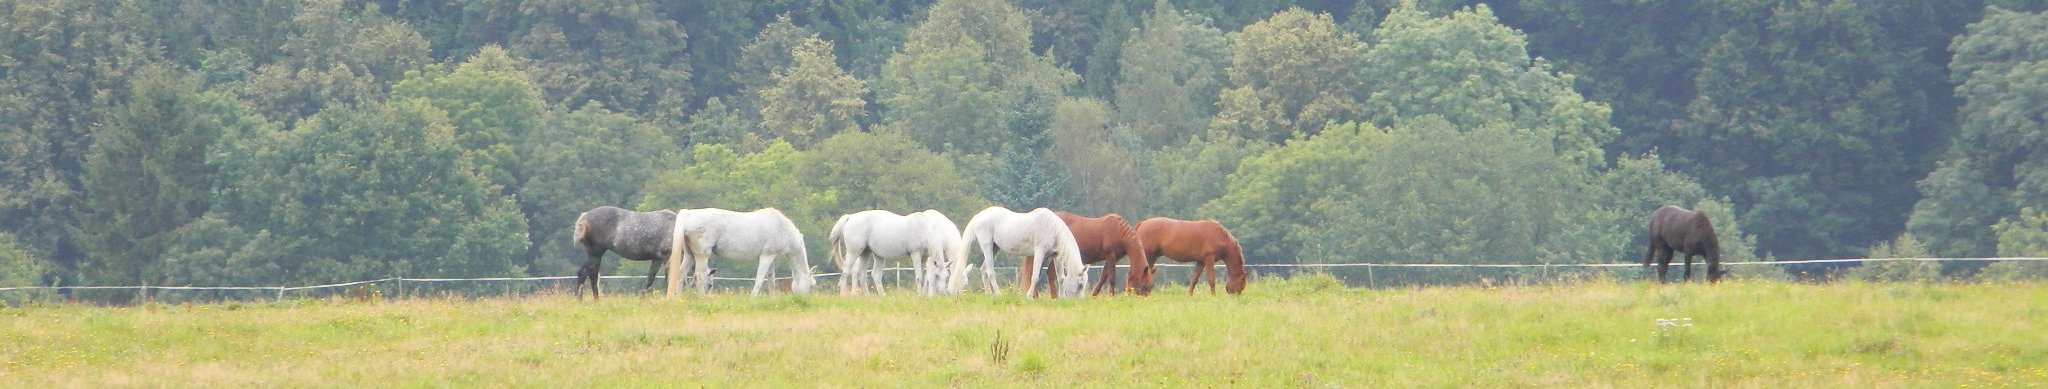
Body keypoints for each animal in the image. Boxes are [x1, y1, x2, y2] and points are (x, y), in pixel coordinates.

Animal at [659, 207, 811, 296]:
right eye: (811, 285)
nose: (804, 300)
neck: (782, 227)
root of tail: (689, 215)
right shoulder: (766, 257)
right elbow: (759, 279)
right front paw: (753, 298)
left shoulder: (772, 259)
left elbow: (771, 281)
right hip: (702, 255)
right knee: (699, 276)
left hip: (690, 255)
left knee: (681, 274)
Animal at [823, 209, 966, 294]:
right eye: (937, 276)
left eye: (947, 277)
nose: (942, 292)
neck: (925, 229)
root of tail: (850, 217)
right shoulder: (915, 254)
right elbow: (919, 277)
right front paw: (919, 296)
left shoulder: (924, 257)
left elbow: (925, 277)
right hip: (854, 252)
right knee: (846, 272)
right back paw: (844, 295)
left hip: (867, 253)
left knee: (866, 275)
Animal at [954, 204, 1089, 298]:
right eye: (1080, 285)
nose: (1080, 301)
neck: (1051, 227)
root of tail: (978, 217)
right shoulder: (1039, 252)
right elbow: (1035, 276)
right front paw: (1029, 296)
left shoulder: (1056, 256)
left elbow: (1061, 278)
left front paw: (1061, 298)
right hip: (987, 246)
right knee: (990, 271)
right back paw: (998, 294)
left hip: (994, 249)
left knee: (983, 270)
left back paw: (988, 294)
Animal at [1019, 210, 1155, 296]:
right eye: (1144, 285)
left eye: (1151, 287)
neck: (1119, 231)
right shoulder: (1111, 257)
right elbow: (1111, 278)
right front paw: (1111, 296)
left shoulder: (1111, 259)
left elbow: (1103, 277)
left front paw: (1094, 295)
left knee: (1049, 273)